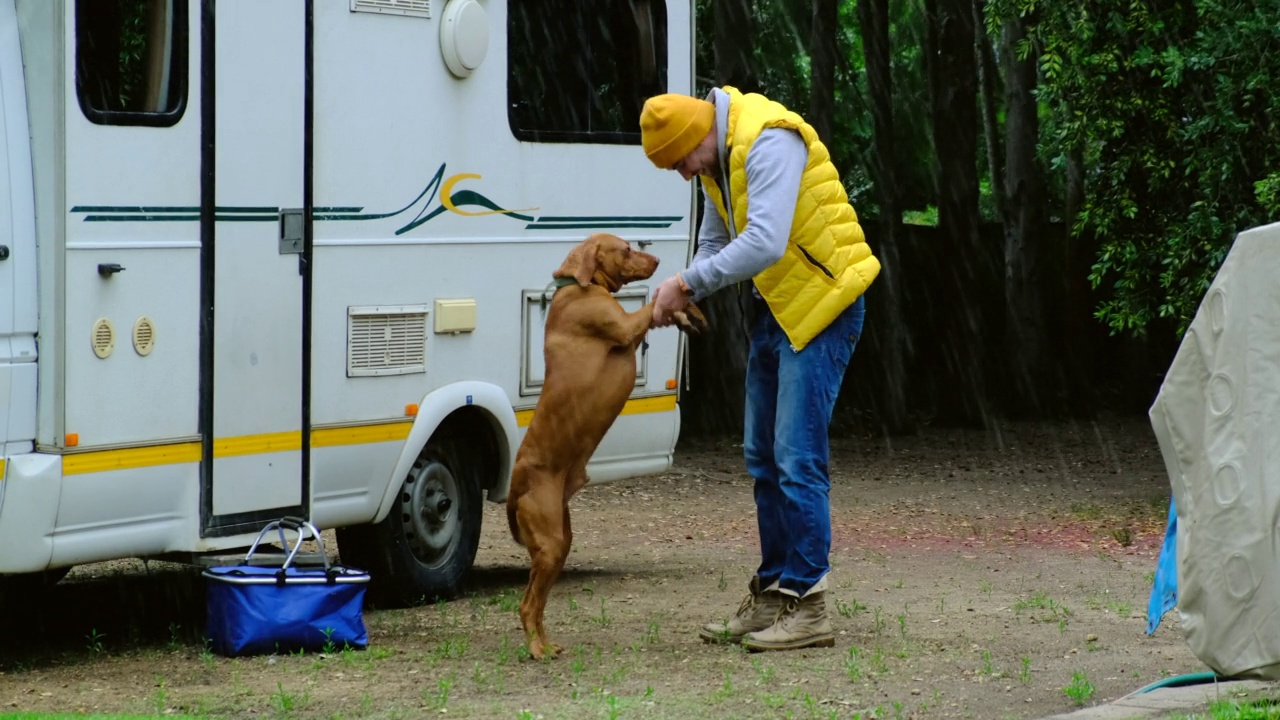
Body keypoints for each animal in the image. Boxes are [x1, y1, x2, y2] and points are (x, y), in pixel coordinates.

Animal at [506, 230, 711, 655]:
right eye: (628, 248)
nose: (656, 261)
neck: (578, 287)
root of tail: (516, 483)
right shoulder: (625, 328)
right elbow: (651, 307)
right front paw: (680, 305)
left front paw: (690, 314)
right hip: (549, 543)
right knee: (527, 604)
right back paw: (536, 649)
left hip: (559, 544)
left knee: (535, 602)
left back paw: (547, 644)